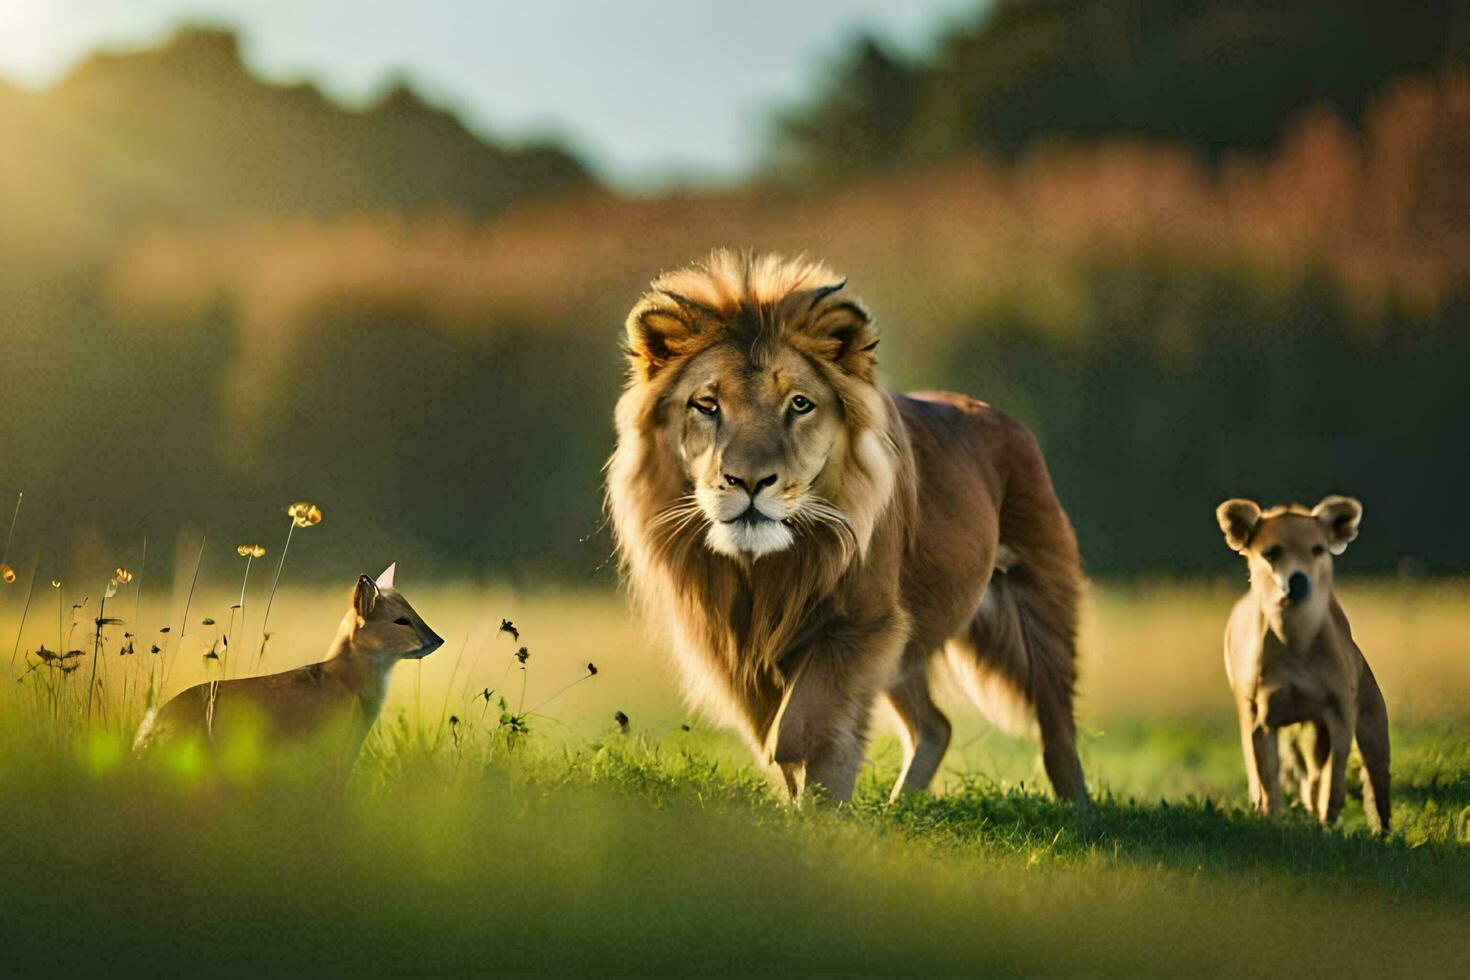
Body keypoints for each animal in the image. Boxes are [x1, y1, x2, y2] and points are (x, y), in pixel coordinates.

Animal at [602, 251, 1087, 805]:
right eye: (707, 405)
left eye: (799, 403)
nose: (749, 481)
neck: (762, 568)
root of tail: (1001, 416)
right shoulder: (741, 647)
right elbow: (774, 731)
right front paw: (804, 807)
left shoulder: (858, 622)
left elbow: (803, 724)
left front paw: (823, 806)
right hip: (905, 641)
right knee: (935, 726)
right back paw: (901, 806)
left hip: (1038, 597)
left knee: (1056, 719)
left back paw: (1079, 808)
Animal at [1217, 493, 1387, 834]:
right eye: (1271, 553)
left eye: (1318, 549)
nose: (1297, 581)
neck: (1296, 644)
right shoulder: (1261, 718)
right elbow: (1267, 780)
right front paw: (1272, 818)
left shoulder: (1339, 712)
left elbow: (1332, 778)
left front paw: (1326, 818)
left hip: (1370, 723)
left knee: (1372, 779)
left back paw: (1382, 830)